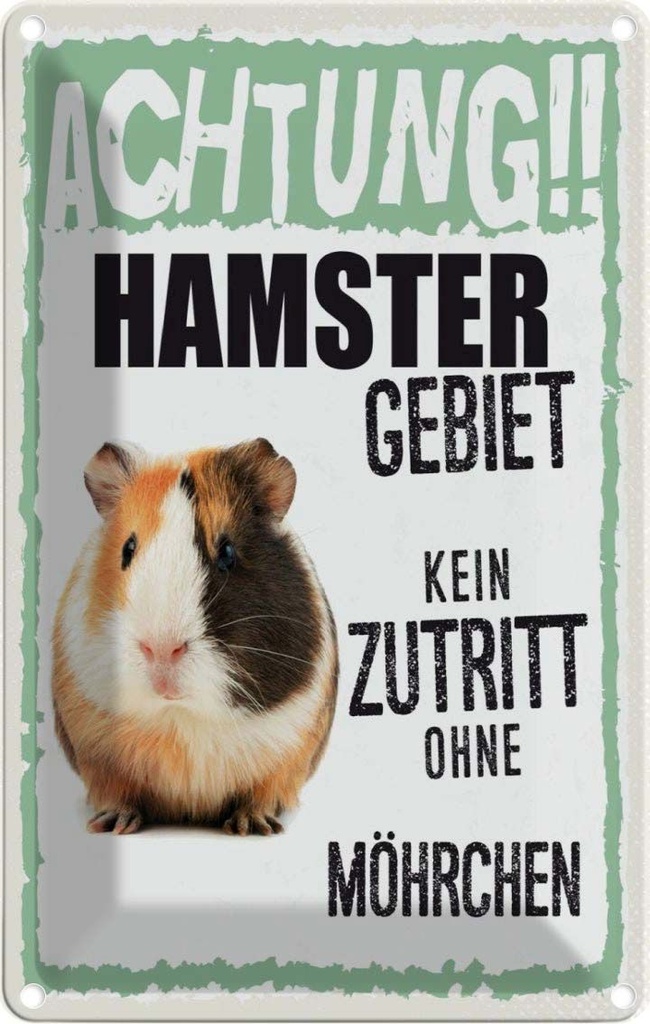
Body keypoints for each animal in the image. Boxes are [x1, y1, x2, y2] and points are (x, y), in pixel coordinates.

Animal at [52, 439, 338, 835]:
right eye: (128, 549)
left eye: (228, 553)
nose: (161, 649)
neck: (181, 720)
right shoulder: (96, 755)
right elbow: (116, 791)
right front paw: (113, 824)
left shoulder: (289, 754)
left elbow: (263, 792)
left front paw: (253, 825)